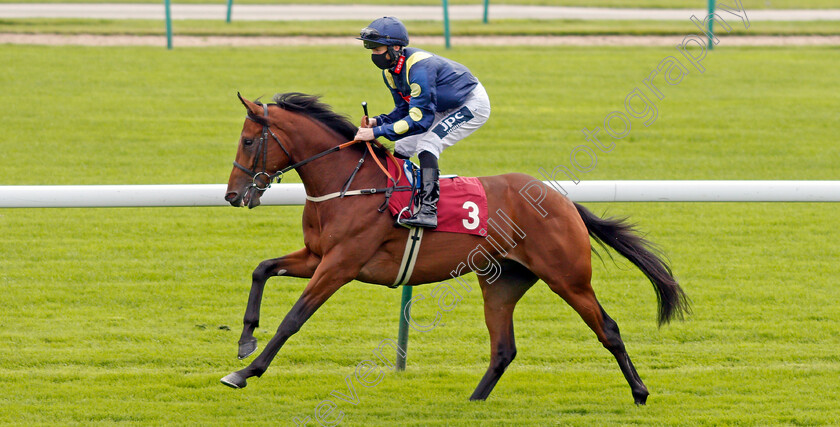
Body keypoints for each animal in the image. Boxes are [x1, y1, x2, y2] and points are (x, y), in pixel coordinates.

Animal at [223, 93, 688, 404]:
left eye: (247, 141)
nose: (232, 196)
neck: (349, 183)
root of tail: (561, 200)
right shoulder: (317, 257)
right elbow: (262, 268)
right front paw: (245, 341)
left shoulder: (340, 265)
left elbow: (293, 319)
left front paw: (245, 371)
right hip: (501, 281)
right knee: (503, 348)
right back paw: (474, 400)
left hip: (568, 278)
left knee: (607, 328)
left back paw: (640, 391)